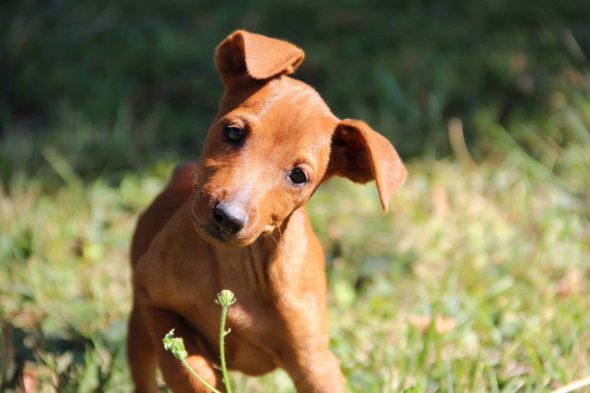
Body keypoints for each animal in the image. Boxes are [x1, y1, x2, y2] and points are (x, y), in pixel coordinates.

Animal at [128, 31, 408, 392]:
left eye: (299, 176)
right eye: (234, 132)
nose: (228, 217)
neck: (240, 266)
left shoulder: (314, 362)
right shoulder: (151, 296)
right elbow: (186, 367)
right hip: (137, 329)